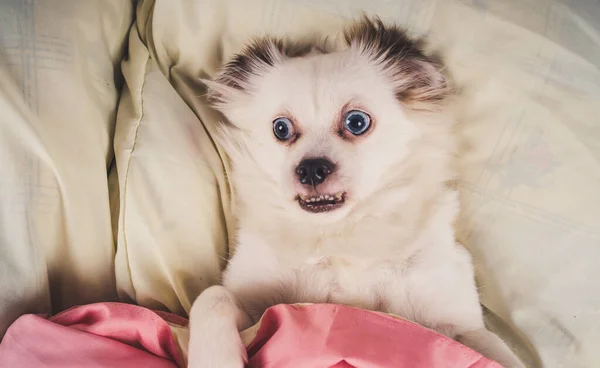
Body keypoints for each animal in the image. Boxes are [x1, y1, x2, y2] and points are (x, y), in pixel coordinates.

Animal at [189, 17, 524, 368]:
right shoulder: (255, 306)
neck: (340, 233)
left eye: (357, 122)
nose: (311, 168)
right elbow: (212, 297)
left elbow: (494, 348)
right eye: (281, 128)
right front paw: (215, 358)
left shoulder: (456, 319)